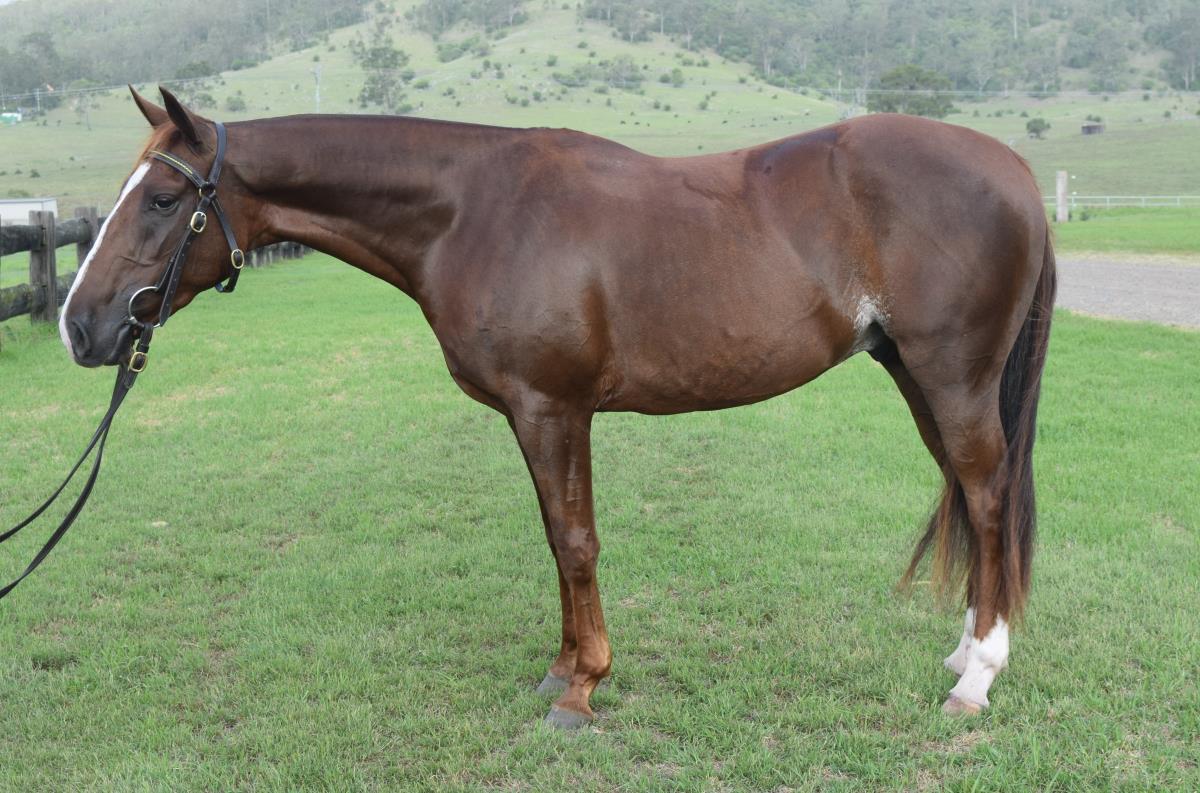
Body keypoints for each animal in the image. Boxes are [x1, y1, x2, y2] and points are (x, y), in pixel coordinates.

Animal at [59, 87, 1054, 728]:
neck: (473, 210)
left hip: (954, 377)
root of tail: (1015, 169)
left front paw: (583, 689)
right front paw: (563, 670)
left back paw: (977, 680)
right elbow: (555, 537)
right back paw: (964, 652)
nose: (79, 326)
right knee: (971, 494)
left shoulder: (552, 408)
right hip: (917, 376)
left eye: (161, 199)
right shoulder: (534, 414)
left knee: (987, 495)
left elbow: (574, 541)